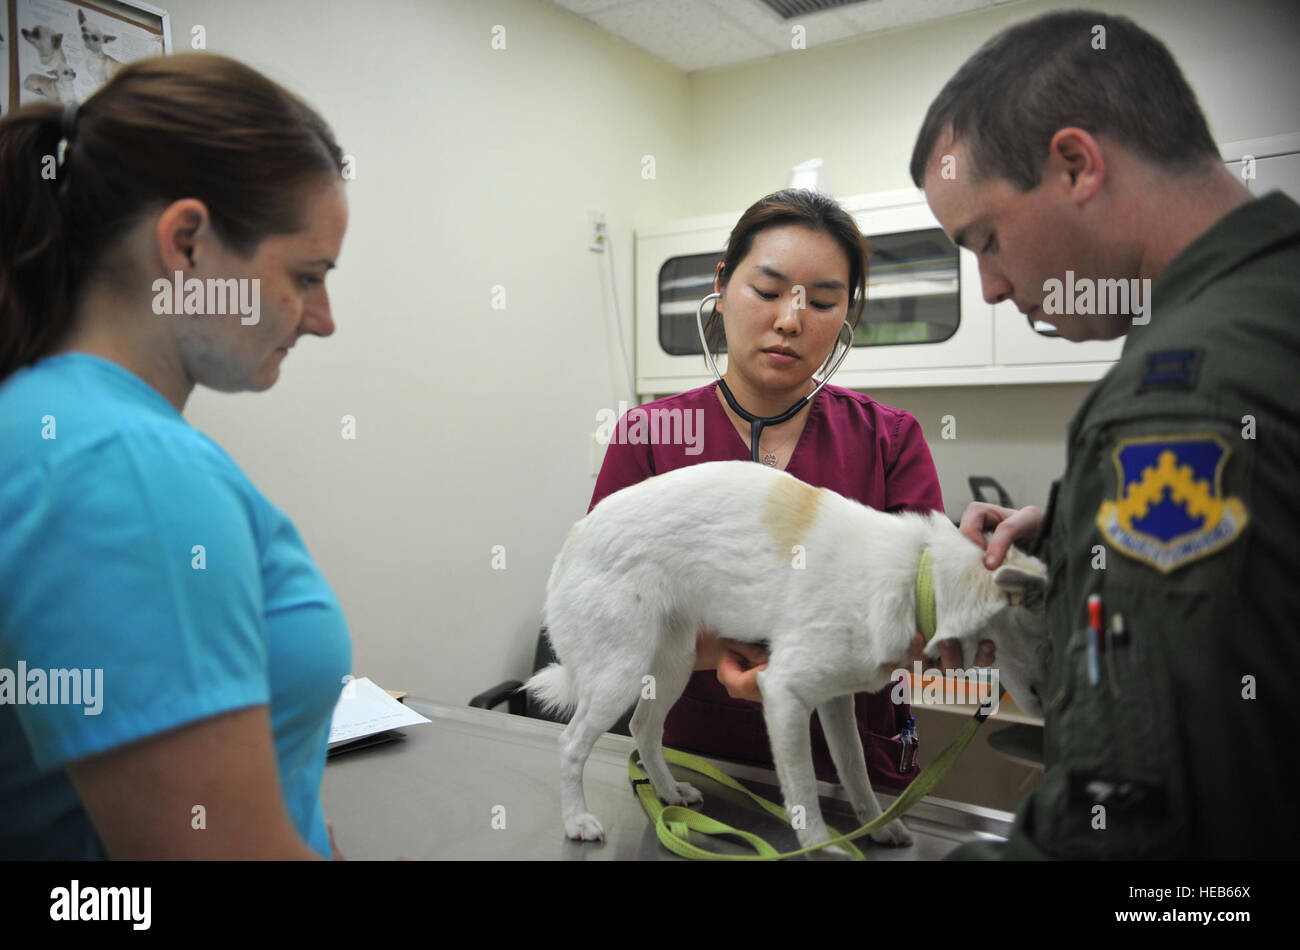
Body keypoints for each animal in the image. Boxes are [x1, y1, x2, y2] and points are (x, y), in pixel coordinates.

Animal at [525, 460, 1045, 852]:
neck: (918, 576)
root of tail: (574, 538)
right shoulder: (784, 695)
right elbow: (803, 791)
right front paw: (822, 846)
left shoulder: (836, 701)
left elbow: (855, 770)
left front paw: (876, 824)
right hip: (620, 673)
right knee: (572, 745)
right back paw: (577, 820)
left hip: (669, 667)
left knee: (644, 728)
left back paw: (670, 792)